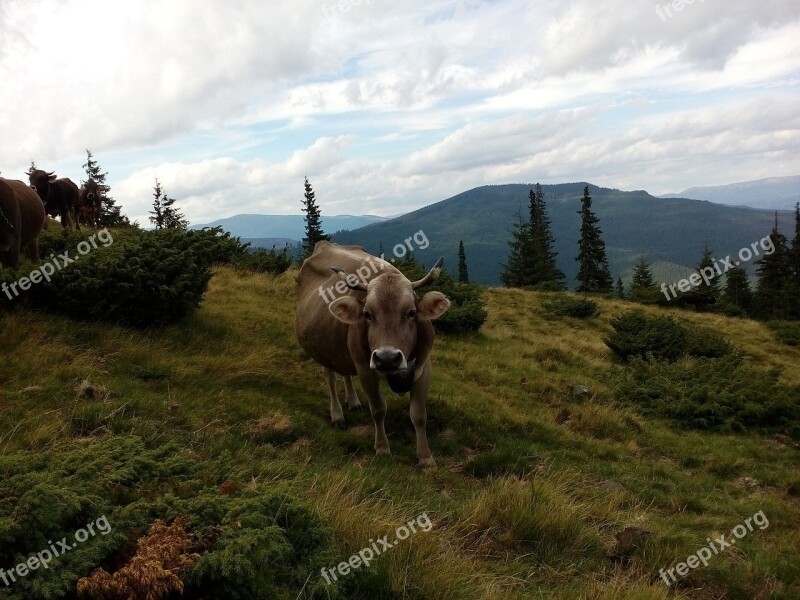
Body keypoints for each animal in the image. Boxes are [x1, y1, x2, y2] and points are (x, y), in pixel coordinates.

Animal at [296, 241, 454, 466]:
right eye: (367, 314)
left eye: (412, 313)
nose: (387, 357)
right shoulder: (365, 368)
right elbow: (379, 409)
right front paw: (382, 448)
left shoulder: (423, 367)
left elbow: (418, 414)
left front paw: (425, 457)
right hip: (323, 350)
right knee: (331, 379)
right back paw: (337, 415)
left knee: (345, 372)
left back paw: (353, 401)